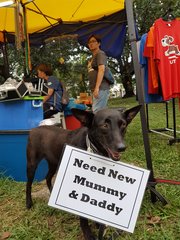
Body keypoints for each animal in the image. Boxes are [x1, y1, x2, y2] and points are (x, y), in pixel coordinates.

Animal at [25, 106, 141, 239]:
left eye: (123, 124)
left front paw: (97, 224)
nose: (121, 147)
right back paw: (29, 203)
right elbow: (83, 217)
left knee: (48, 178)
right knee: (28, 184)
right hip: (32, 165)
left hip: (54, 163)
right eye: (105, 125)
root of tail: (35, 129)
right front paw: (88, 233)